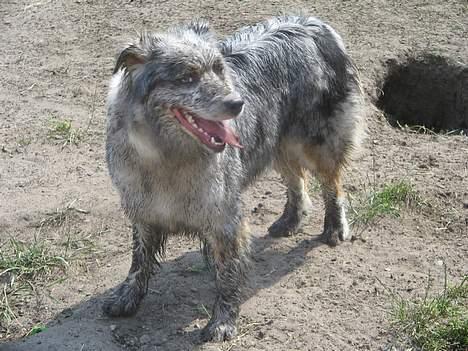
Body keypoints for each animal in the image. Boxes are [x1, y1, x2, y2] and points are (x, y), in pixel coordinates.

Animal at [104, 16, 364, 344]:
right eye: (187, 77)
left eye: (218, 69)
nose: (237, 103)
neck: (166, 155)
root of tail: (313, 23)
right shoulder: (143, 210)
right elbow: (138, 261)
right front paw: (127, 297)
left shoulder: (225, 217)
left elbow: (227, 275)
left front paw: (222, 323)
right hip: (277, 141)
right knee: (297, 182)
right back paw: (290, 220)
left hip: (318, 141)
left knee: (332, 184)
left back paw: (335, 227)